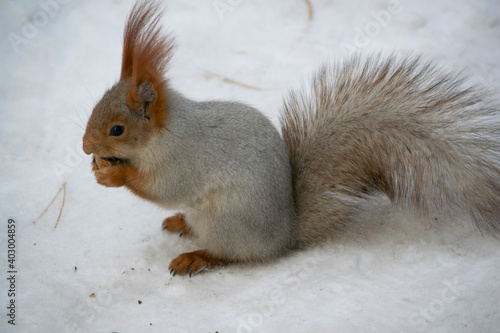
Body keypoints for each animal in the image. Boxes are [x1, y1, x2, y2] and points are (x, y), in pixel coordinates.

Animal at [82, 0, 500, 274]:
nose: (85, 147)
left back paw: (197, 256)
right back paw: (181, 223)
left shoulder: (181, 158)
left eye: (117, 129)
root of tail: (285, 236)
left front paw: (113, 174)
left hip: (224, 218)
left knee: (234, 255)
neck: (165, 132)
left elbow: (163, 187)